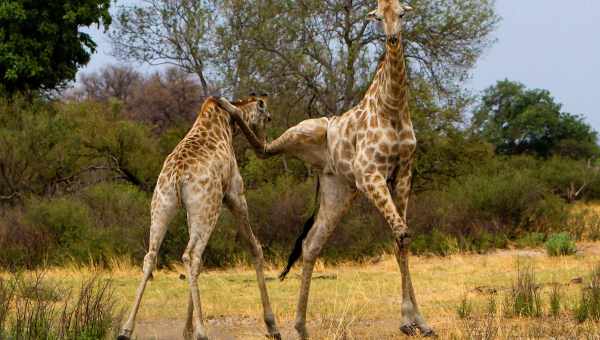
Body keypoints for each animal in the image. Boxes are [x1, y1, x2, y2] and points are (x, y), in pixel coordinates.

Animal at [119, 94, 284, 340]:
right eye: (269, 117)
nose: (264, 143)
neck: (227, 123)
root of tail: (177, 175)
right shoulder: (234, 194)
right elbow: (255, 247)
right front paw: (272, 327)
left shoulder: (190, 210)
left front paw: (186, 329)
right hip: (208, 207)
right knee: (192, 255)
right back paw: (202, 332)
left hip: (163, 205)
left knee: (153, 256)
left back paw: (126, 330)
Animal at [218, 1, 434, 338]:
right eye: (378, 16)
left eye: (402, 13)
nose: (392, 40)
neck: (393, 108)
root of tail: (322, 164)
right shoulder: (369, 174)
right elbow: (401, 233)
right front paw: (409, 320)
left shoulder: (403, 174)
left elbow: (401, 238)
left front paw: (417, 321)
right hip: (305, 135)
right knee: (264, 149)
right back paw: (233, 104)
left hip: (338, 189)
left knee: (311, 244)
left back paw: (301, 326)